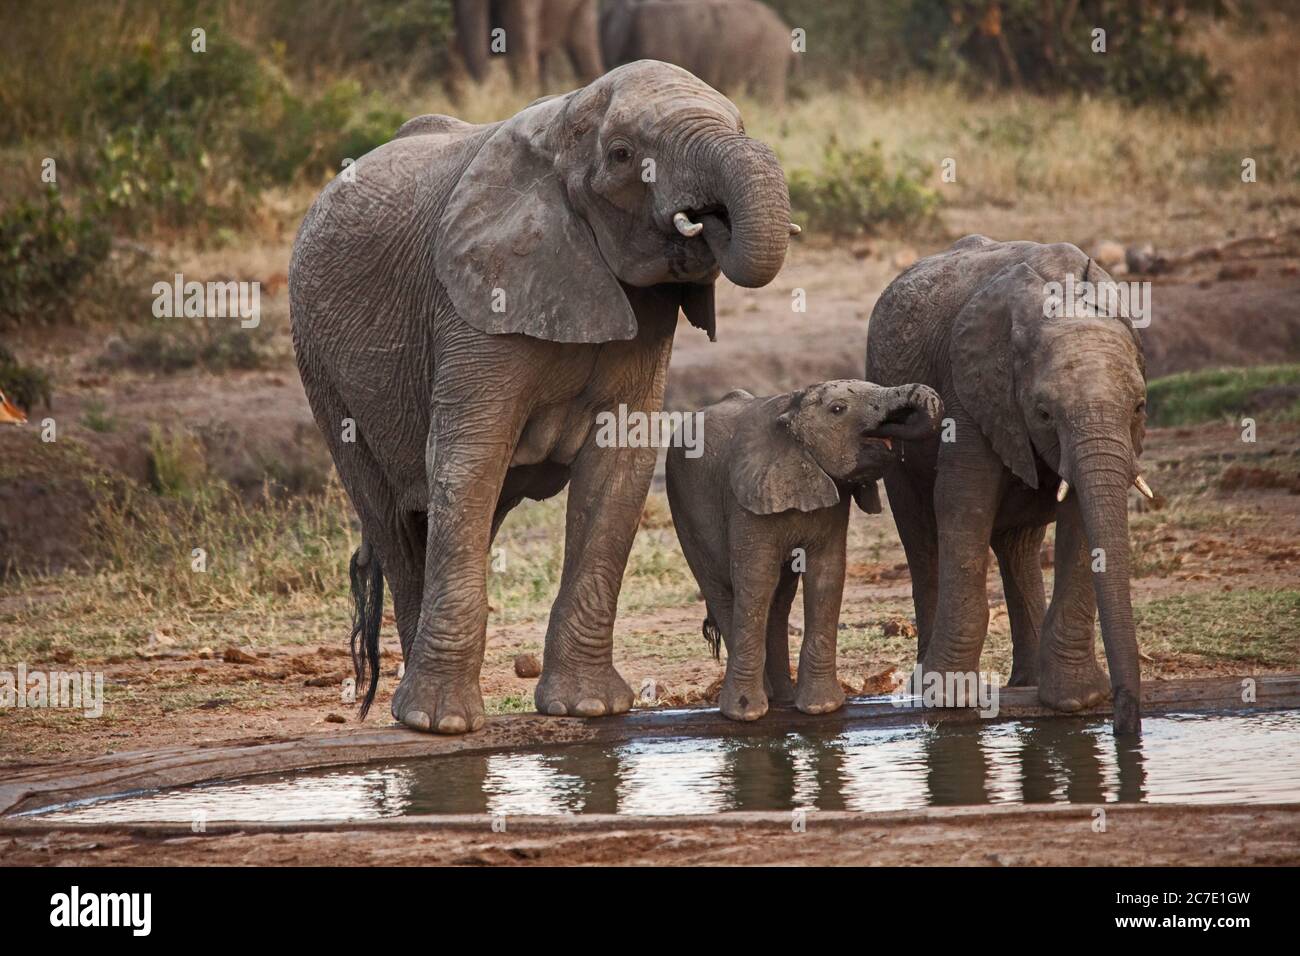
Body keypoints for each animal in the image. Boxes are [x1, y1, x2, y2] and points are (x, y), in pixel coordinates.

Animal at [291, 61, 795, 733]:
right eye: (621, 154)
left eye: (740, 128)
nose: (706, 219)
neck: (564, 124)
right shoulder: (475, 301)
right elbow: (468, 460)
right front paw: (445, 724)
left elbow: (619, 468)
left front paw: (589, 709)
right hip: (320, 367)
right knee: (392, 516)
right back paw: (416, 714)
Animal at [670, 379, 946, 717]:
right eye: (838, 409)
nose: (896, 427)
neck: (791, 411)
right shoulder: (745, 498)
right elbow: (756, 577)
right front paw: (746, 713)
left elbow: (826, 574)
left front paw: (821, 707)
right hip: (686, 511)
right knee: (723, 591)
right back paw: (762, 698)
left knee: (779, 599)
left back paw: (783, 698)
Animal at [868, 235, 1154, 738]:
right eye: (1043, 413)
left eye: (1139, 406)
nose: (1125, 726)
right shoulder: (972, 392)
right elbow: (963, 504)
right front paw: (949, 700)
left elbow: (1081, 517)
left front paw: (1076, 700)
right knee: (920, 534)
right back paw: (926, 686)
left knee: (1018, 546)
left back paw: (1029, 682)